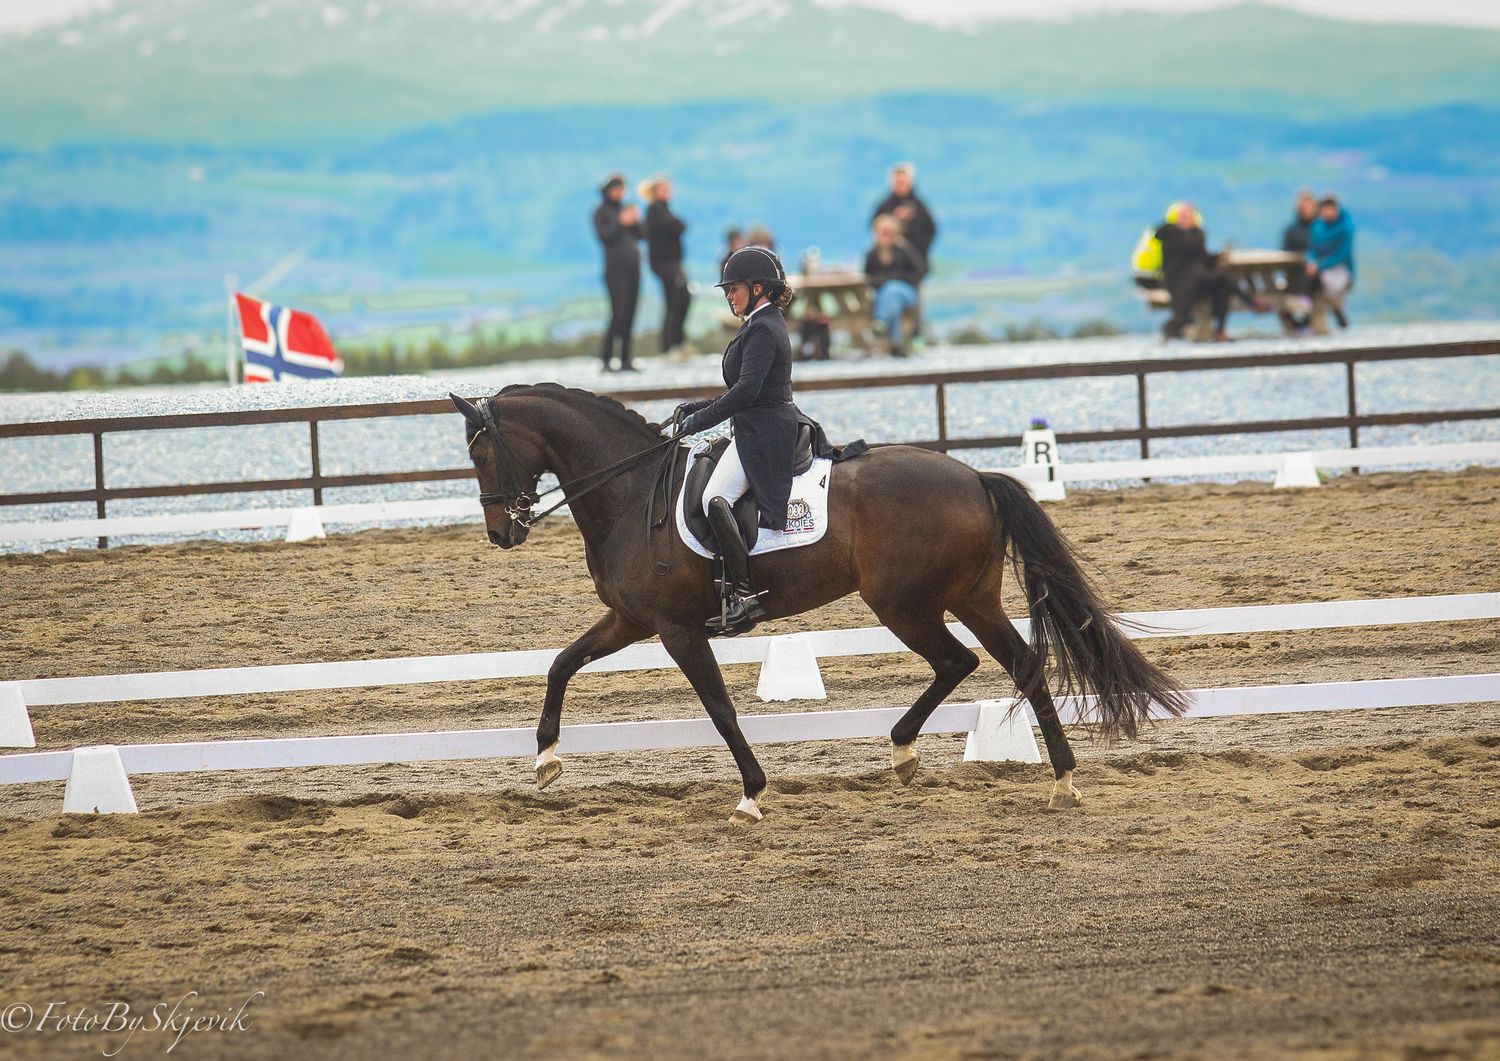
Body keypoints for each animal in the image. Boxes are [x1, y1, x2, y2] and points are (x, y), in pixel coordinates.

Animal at [451, 384, 1187, 823]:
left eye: (482, 454)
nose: (502, 532)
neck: (633, 494)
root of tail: (975, 477)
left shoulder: (676, 628)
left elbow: (718, 708)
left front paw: (752, 793)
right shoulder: (632, 619)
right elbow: (561, 663)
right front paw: (545, 760)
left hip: (905, 603)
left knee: (964, 663)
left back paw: (932, 755)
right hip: (967, 597)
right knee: (1011, 664)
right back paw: (1041, 776)